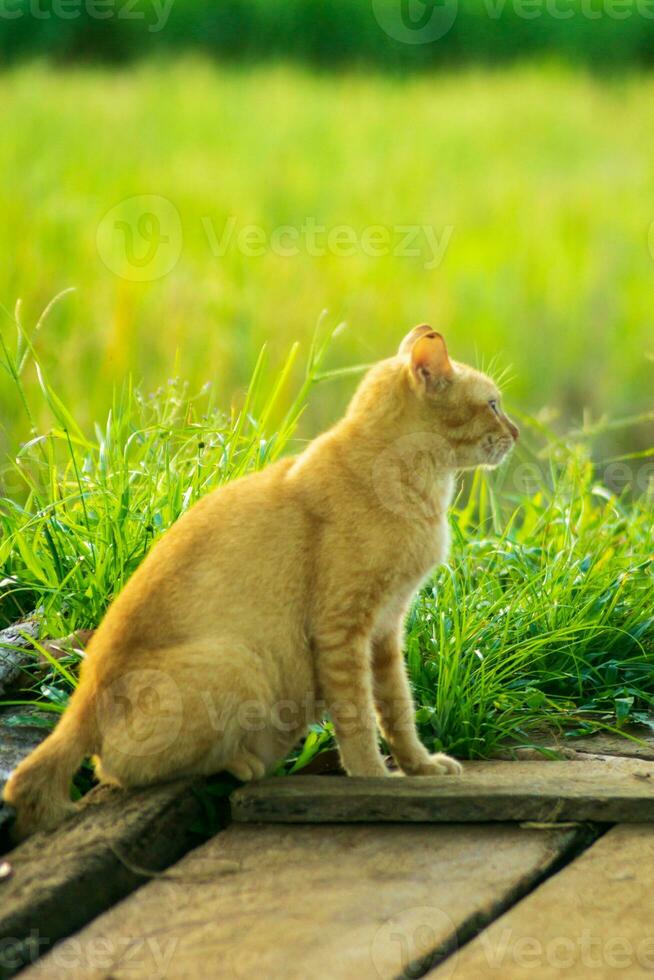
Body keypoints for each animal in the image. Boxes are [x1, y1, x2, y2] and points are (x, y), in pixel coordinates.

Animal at [3, 326, 516, 840]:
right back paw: (240, 763)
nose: (515, 433)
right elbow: (356, 715)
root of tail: (82, 699)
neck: (417, 489)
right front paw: (372, 777)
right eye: (493, 404)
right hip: (238, 662)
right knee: (116, 770)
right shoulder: (342, 630)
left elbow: (397, 709)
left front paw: (420, 767)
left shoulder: (386, 631)